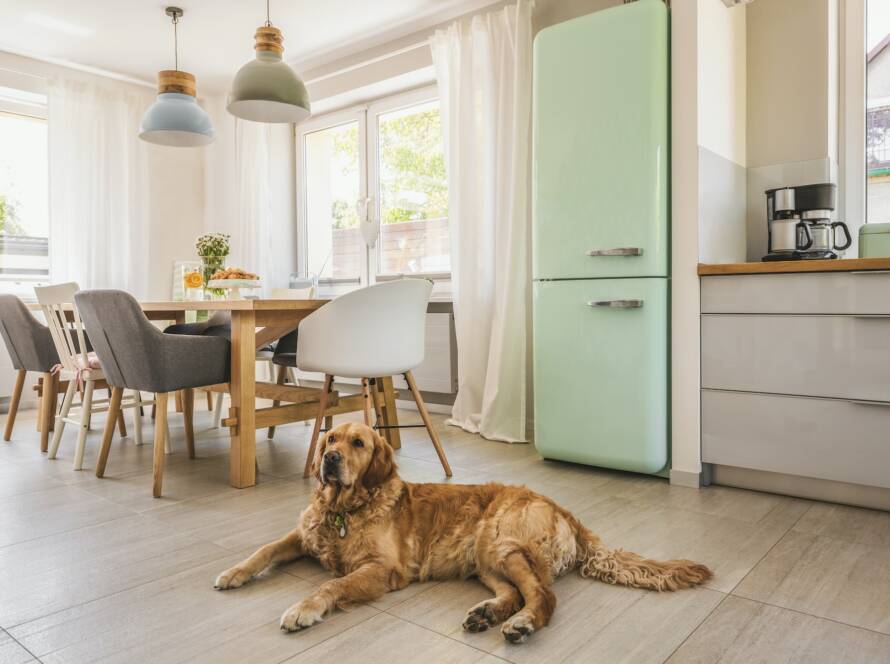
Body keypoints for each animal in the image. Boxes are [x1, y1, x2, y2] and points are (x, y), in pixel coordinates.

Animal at [213, 422, 708, 640]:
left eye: (358, 443)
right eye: (331, 438)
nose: (330, 459)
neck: (345, 509)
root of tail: (564, 510)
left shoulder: (384, 569)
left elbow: (332, 585)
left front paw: (303, 609)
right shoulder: (302, 537)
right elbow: (263, 550)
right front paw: (233, 573)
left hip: (502, 542)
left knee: (542, 596)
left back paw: (522, 624)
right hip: (486, 559)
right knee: (514, 592)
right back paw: (486, 614)